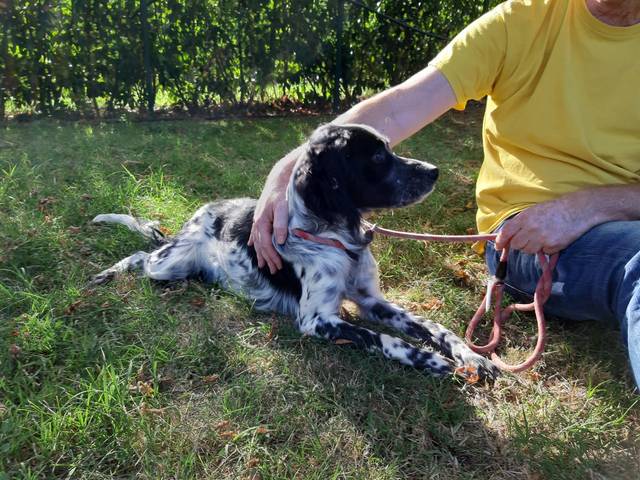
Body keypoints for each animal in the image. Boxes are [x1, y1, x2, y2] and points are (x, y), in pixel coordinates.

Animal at [91, 125, 500, 380]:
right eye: (377, 158)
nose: (434, 171)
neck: (339, 239)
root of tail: (201, 212)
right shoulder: (316, 319)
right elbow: (385, 339)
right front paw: (431, 360)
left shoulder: (372, 301)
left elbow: (432, 327)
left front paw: (470, 355)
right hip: (169, 264)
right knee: (143, 254)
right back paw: (108, 272)